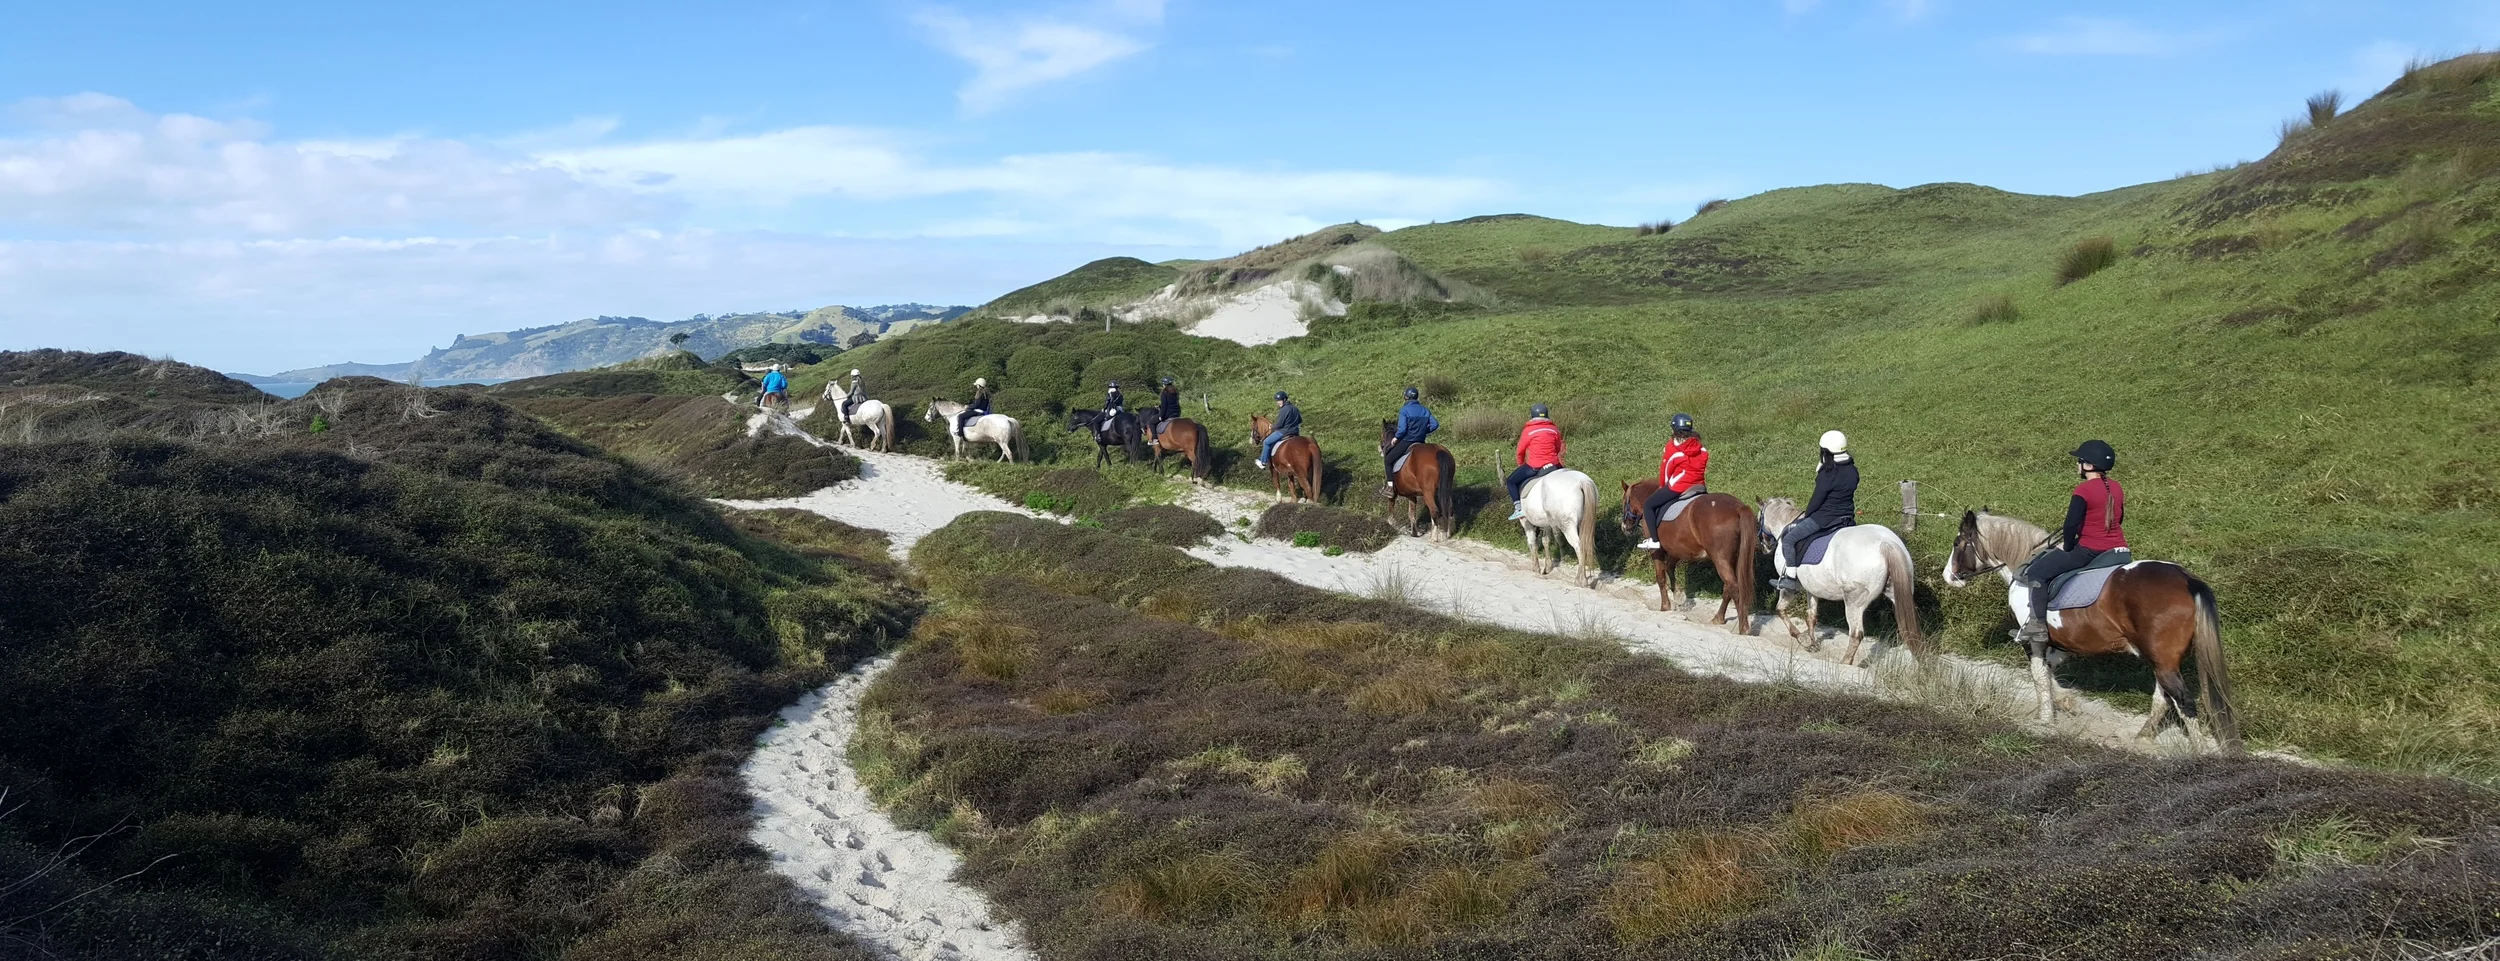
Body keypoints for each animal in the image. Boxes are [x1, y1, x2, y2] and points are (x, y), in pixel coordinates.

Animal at [1618, 480, 1757, 634]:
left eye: (1624, 502)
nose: (1624, 527)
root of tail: (1738, 507)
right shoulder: (1677, 549)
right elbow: (1669, 567)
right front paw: (1678, 595)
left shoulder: (1657, 551)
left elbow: (1660, 577)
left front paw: (1665, 606)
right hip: (1732, 559)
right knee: (1728, 588)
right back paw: (1719, 618)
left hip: (1720, 559)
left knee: (1733, 587)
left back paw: (1743, 628)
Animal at [1756, 497, 1927, 666]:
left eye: (1758, 520)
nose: (1765, 548)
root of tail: (1886, 543)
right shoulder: (1812, 588)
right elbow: (1811, 616)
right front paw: (1812, 643)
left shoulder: (1789, 588)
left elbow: (1780, 610)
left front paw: (1802, 639)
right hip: (1897, 594)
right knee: (1909, 629)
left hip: (1853, 601)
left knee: (1856, 634)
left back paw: (1845, 663)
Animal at [1943, 509, 2241, 752]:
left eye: (1957, 543)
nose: (1948, 577)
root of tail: (2188, 581)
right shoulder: (2063, 642)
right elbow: (2050, 667)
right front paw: (2064, 701)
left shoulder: (2033, 640)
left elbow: (2039, 675)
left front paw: (2046, 719)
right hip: (2163, 660)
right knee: (2164, 698)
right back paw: (2143, 737)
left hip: (2163, 661)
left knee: (2183, 702)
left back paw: (2198, 752)